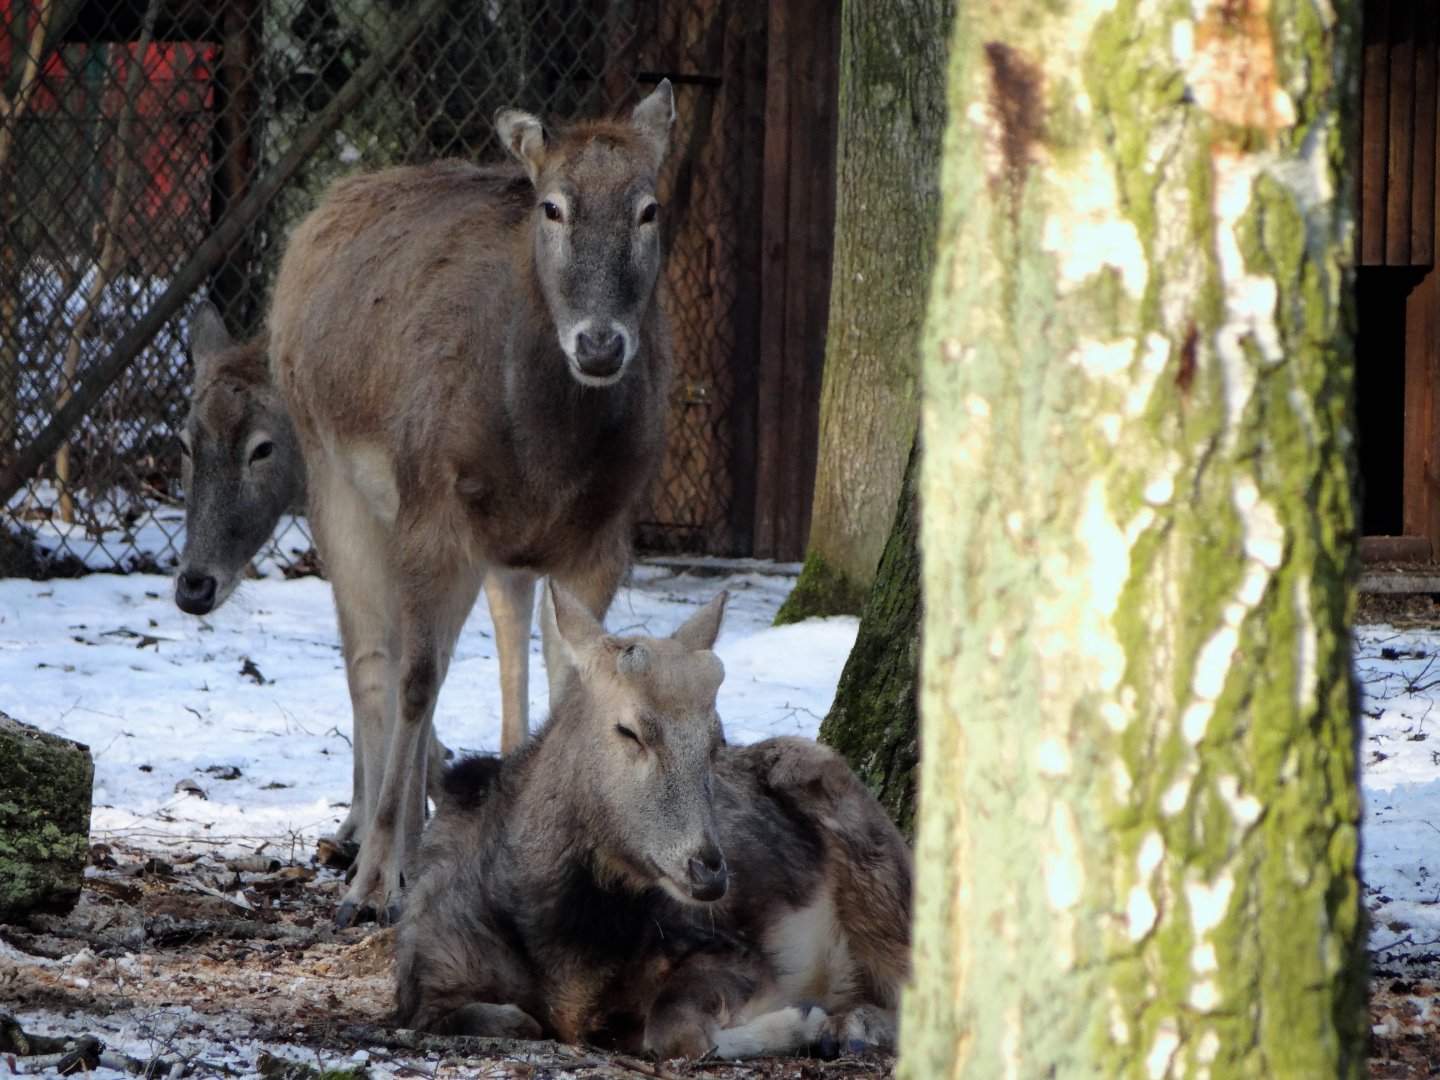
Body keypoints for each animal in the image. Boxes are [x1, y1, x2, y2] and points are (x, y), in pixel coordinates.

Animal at [267, 82, 677, 926]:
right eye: (552, 207)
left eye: (649, 208)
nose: (599, 345)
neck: (546, 452)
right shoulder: (433, 510)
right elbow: (416, 676)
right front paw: (375, 883)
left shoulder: (601, 535)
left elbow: (572, 682)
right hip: (334, 476)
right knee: (375, 658)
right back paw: (368, 847)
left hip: (496, 545)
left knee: (484, 640)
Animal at [394, 584, 913, 1059]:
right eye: (629, 730)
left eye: (715, 741)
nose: (708, 870)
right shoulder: (424, 983)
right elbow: (512, 1020)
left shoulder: (730, 949)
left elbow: (672, 1030)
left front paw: (801, 1020)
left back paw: (851, 1027)